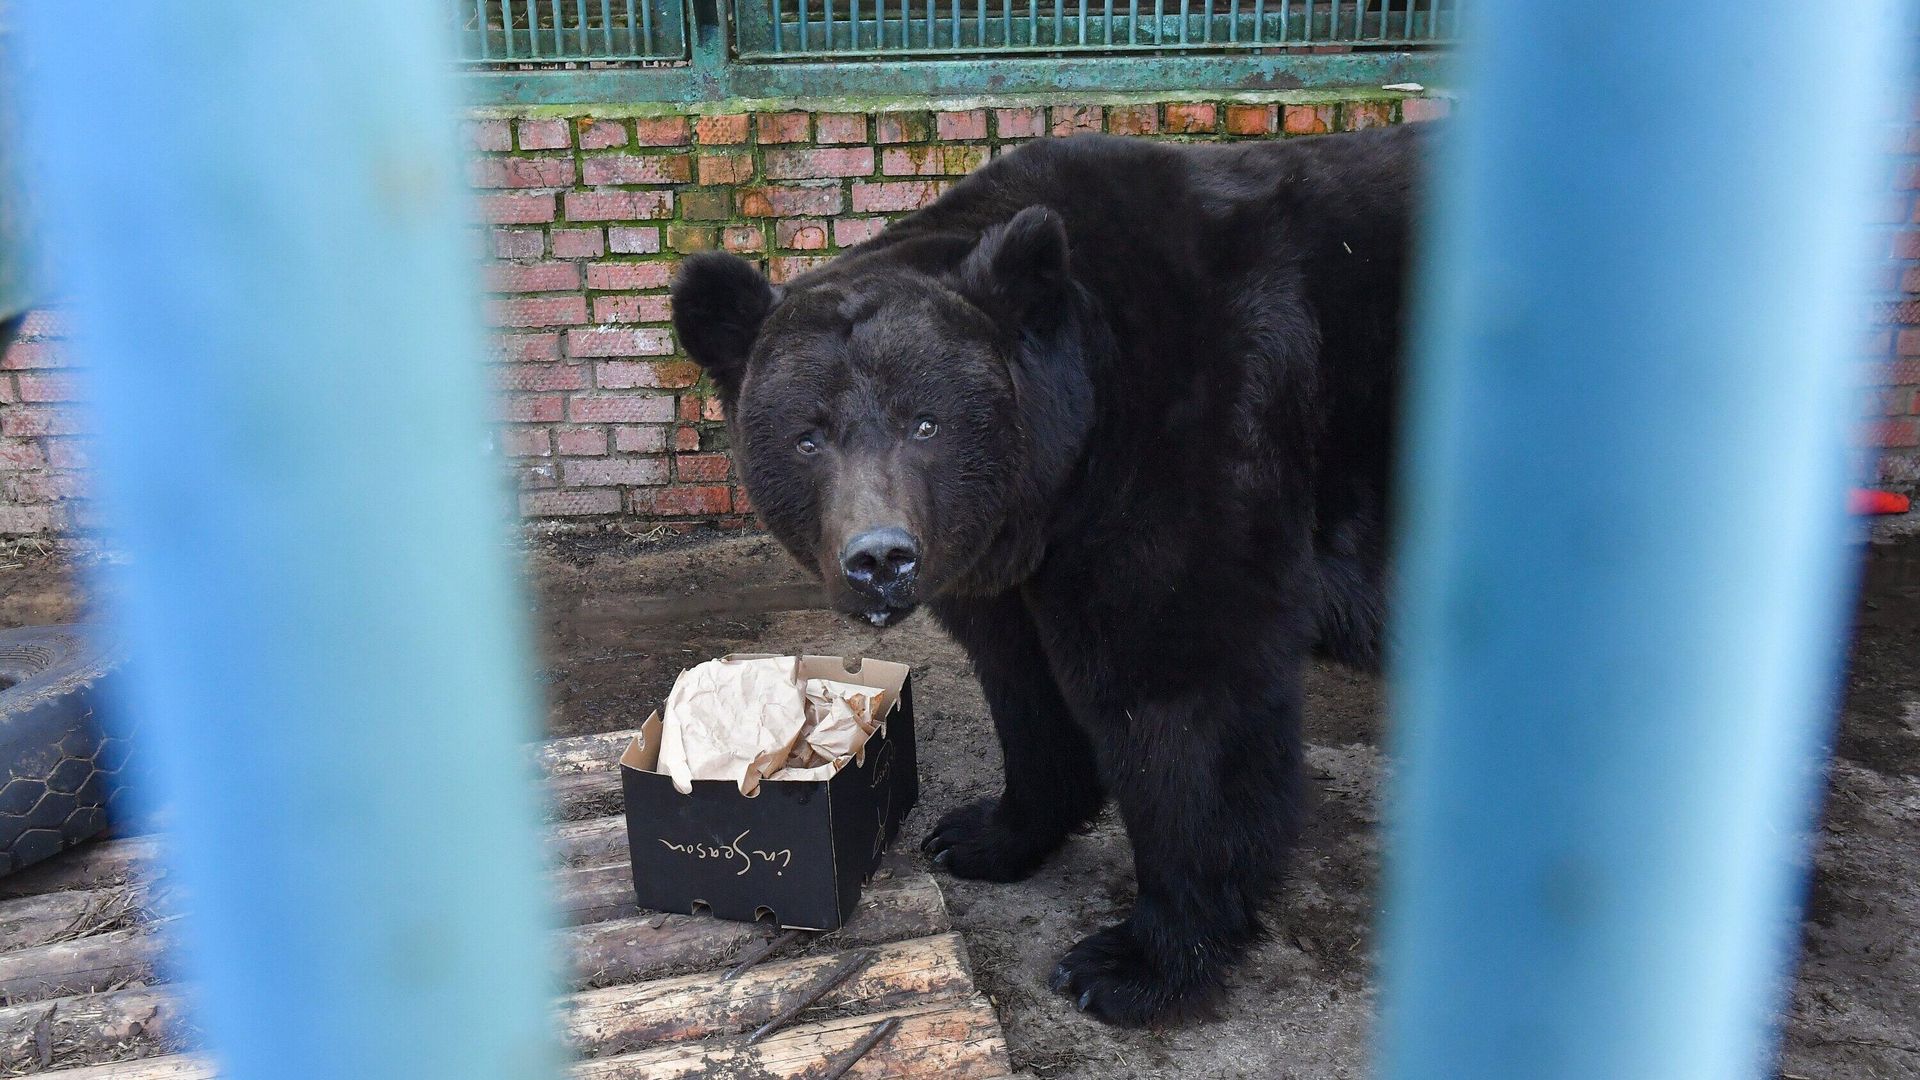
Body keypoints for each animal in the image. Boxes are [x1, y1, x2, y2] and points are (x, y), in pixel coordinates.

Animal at [670, 125, 1421, 1027]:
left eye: (927, 423)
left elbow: (1186, 704)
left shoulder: (1201, 452)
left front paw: (1132, 961)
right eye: (809, 436)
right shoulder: (1011, 559)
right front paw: (981, 833)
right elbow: (1023, 683)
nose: (880, 559)